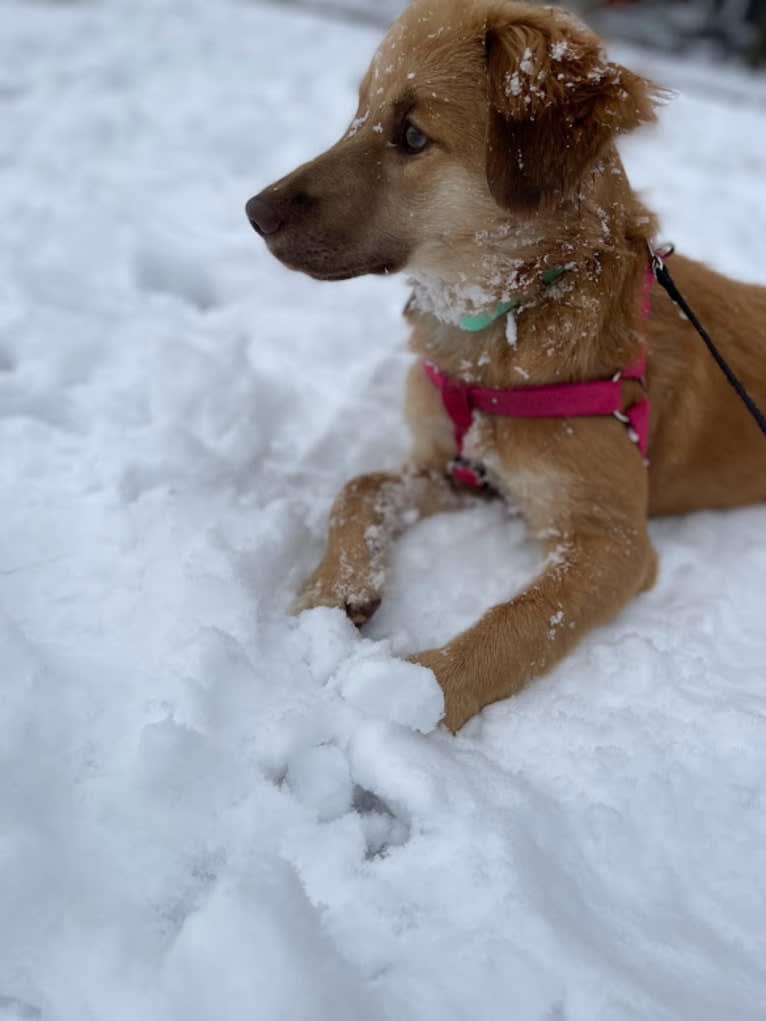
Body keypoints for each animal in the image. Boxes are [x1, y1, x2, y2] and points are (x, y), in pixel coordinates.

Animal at [246, 0, 766, 735]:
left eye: (412, 135)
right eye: (359, 110)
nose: (253, 212)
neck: (506, 329)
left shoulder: (613, 543)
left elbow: (520, 622)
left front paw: (414, 692)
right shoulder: (460, 469)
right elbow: (360, 486)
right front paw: (334, 587)